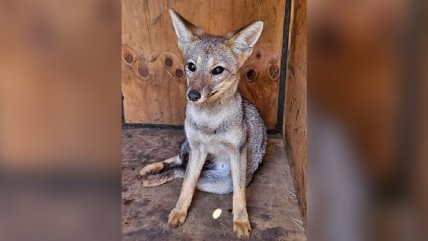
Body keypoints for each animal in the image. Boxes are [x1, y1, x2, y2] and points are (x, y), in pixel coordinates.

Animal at [140, 8, 268, 239]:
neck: (209, 123)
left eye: (217, 70)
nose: (192, 95)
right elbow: (186, 186)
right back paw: (152, 170)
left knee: (179, 169)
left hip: (221, 183)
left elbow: (239, 194)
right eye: (192, 67)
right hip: (193, 153)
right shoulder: (197, 148)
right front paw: (179, 211)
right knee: (180, 164)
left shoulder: (238, 152)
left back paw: (155, 176)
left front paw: (241, 220)